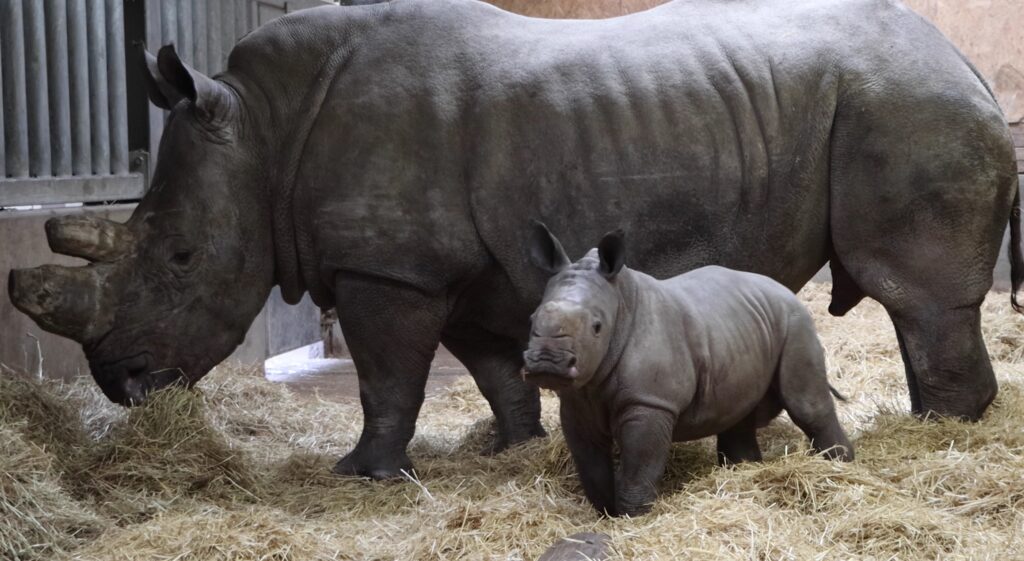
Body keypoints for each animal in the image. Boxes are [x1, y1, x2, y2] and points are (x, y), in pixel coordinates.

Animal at [8, 0, 1021, 480]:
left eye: (180, 258)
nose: (123, 383)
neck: (261, 130)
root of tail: (971, 66)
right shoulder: (458, 268)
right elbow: (493, 367)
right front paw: (512, 447)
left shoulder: (392, 268)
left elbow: (387, 378)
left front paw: (362, 473)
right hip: (906, 99)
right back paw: (931, 429)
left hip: (909, 107)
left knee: (921, 298)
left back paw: (942, 435)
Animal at [523, 224, 853, 516]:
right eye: (531, 319)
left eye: (597, 327)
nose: (547, 362)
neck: (619, 302)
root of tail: (785, 290)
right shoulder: (578, 402)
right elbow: (591, 467)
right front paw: (605, 514)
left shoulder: (650, 402)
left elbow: (640, 467)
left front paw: (633, 516)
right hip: (740, 325)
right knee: (738, 413)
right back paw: (744, 470)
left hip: (795, 322)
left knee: (806, 405)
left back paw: (841, 468)